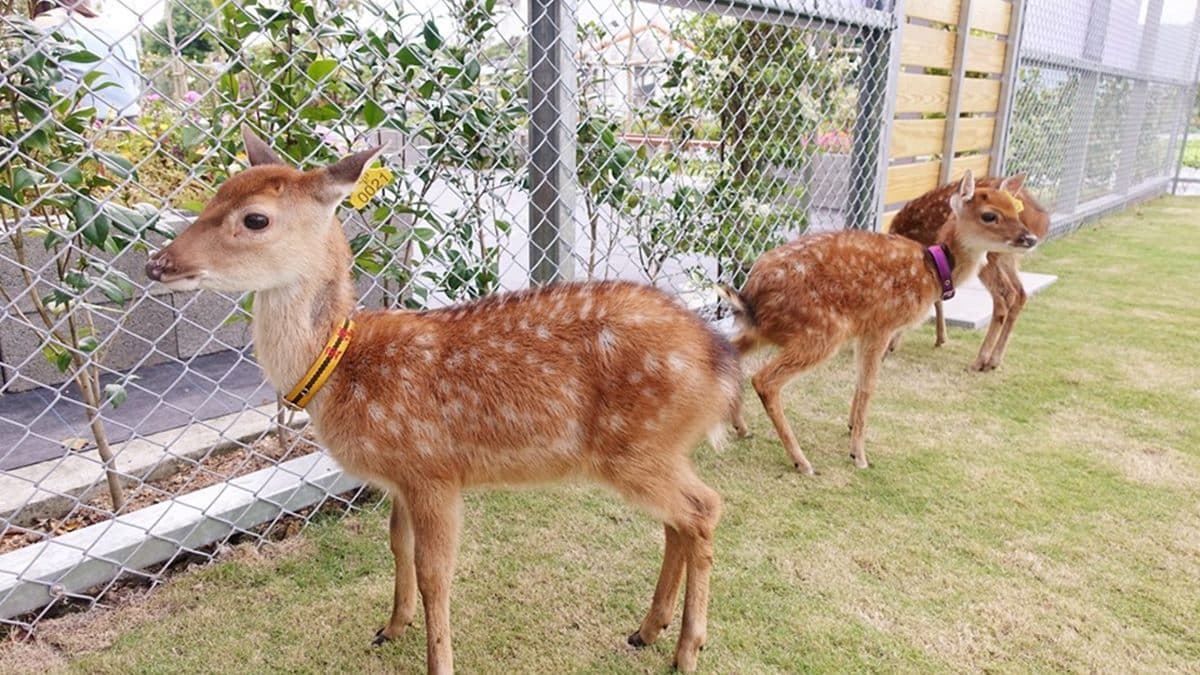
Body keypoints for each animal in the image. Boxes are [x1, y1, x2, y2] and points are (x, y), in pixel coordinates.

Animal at [144, 129, 741, 674]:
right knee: (679, 520)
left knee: (704, 508)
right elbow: (396, 545)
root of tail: (721, 364)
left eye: (255, 219)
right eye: (215, 194)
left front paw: (437, 660)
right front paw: (390, 625)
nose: (157, 264)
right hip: (654, 450)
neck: (341, 370)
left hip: (637, 445)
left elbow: (436, 574)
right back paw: (647, 629)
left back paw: (688, 648)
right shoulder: (400, 479)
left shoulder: (433, 469)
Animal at [888, 173, 1050, 371]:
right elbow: (937, 298)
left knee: (1004, 296)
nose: (1030, 238)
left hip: (991, 258)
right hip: (1007, 258)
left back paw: (980, 361)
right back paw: (994, 361)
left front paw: (895, 342)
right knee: (1020, 293)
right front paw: (941, 338)